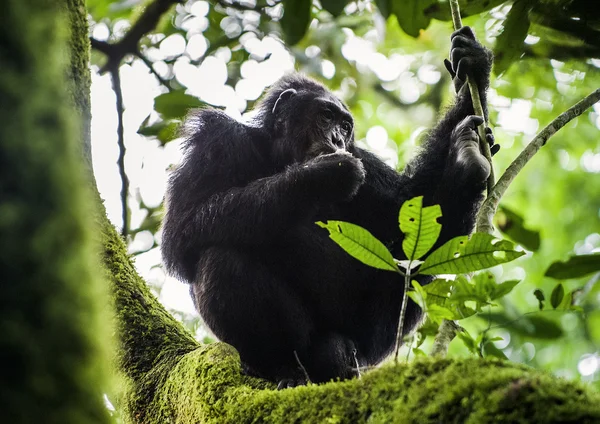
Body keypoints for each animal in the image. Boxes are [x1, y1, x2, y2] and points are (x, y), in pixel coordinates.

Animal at [161, 27, 496, 388]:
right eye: (325, 117)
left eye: (345, 126)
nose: (336, 139)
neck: (280, 155)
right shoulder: (215, 140)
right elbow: (183, 229)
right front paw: (322, 175)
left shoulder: (368, 165)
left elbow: (406, 209)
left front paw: (473, 66)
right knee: (220, 259)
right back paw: (281, 367)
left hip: (371, 340)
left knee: (414, 263)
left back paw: (467, 162)